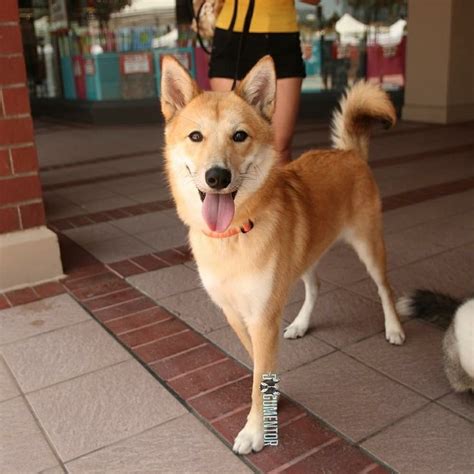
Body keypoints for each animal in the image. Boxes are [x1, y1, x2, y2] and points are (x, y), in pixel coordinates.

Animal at [161, 55, 406, 456]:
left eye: (239, 136)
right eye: (195, 136)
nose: (217, 177)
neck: (233, 235)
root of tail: (348, 152)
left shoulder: (263, 316)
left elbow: (259, 374)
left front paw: (255, 430)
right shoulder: (236, 314)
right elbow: (257, 363)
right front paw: (272, 394)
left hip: (369, 246)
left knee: (385, 289)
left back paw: (394, 328)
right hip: (302, 255)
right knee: (316, 285)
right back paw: (301, 323)